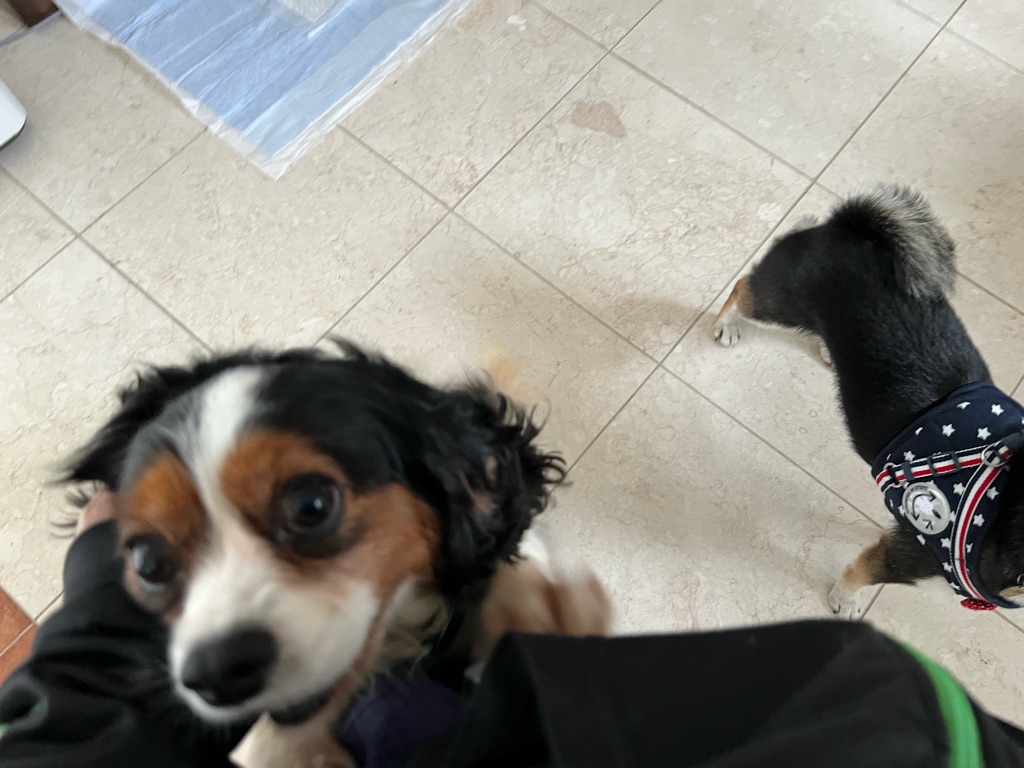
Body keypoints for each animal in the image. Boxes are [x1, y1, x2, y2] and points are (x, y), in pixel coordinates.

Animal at [713, 185, 1024, 619]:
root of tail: (847, 228)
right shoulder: (905, 557)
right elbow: (858, 573)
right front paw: (845, 601)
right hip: (781, 301)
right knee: (743, 287)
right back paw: (727, 324)